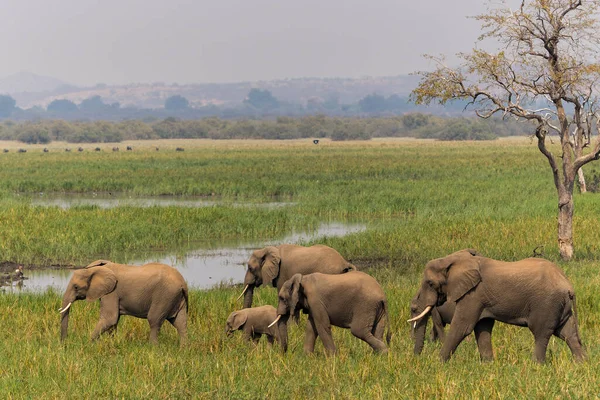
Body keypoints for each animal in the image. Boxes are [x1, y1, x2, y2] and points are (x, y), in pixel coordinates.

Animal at [59, 260, 188, 344]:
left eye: (76, 287)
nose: (64, 343)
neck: (96, 269)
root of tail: (183, 283)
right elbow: (113, 321)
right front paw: (111, 343)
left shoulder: (112, 292)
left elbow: (109, 318)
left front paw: (88, 344)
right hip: (175, 297)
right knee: (180, 322)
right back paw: (184, 349)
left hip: (164, 296)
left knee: (154, 320)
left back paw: (152, 347)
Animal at [410, 248, 584, 364]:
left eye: (430, 283)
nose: (416, 359)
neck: (453, 259)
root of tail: (568, 285)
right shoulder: (480, 299)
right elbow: (482, 327)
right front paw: (488, 365)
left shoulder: (473, 294)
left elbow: (462, 327)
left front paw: (438, 364)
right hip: (560, 306)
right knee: (568, 334)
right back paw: (581, 364)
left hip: (546, 304)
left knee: (541, 333)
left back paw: (536, 366)